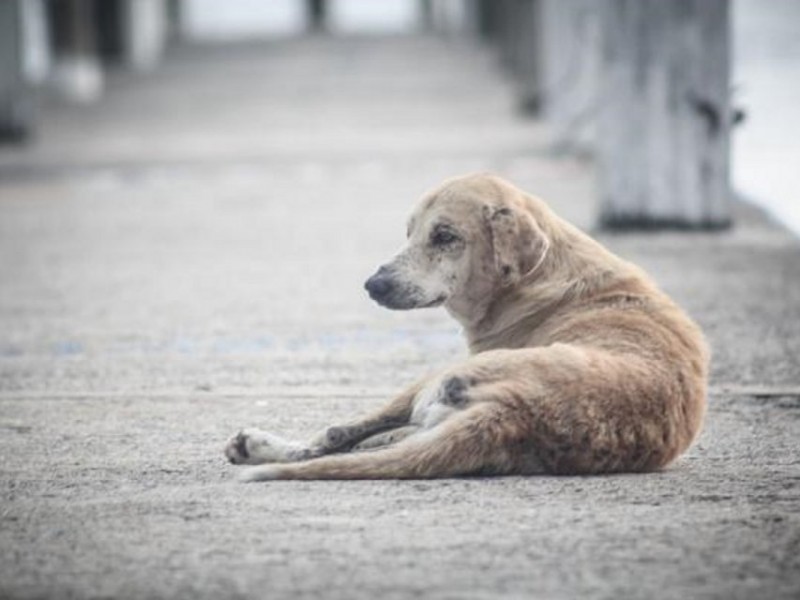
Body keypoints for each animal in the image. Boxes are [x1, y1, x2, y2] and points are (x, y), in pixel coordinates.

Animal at [223, 171, 708, 480]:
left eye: (445, 236)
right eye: (409, 233)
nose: (372, 285)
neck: (540, 275)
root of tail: (513, 412)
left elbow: (341, 433)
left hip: (434, 378)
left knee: (335, 437)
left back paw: (258, 446)